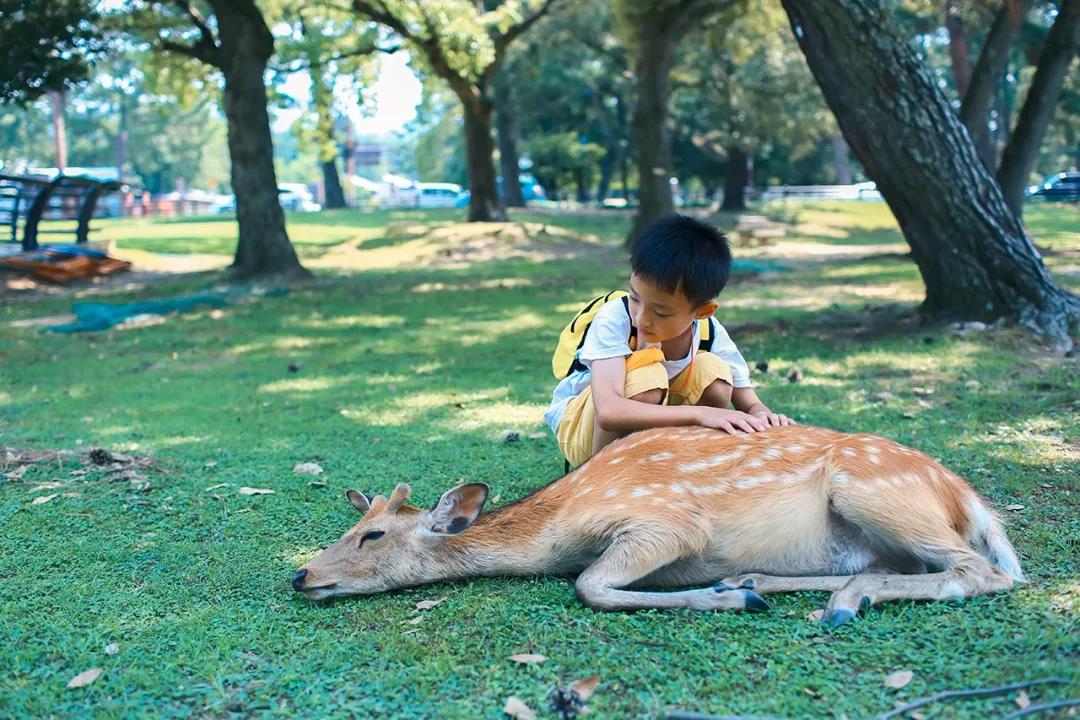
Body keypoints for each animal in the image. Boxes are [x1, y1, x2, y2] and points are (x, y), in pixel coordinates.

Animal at [293, 427, 1019, 626]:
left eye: (371, 536)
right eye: (351, 527)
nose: (301, 574)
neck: (557, 526)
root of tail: (962, 492)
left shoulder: (667, 521)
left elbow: (588, 584)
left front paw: (724, 599)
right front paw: (735, 591)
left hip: (874, 491)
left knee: (986, 571)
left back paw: (835, 601)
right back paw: (775, 584)